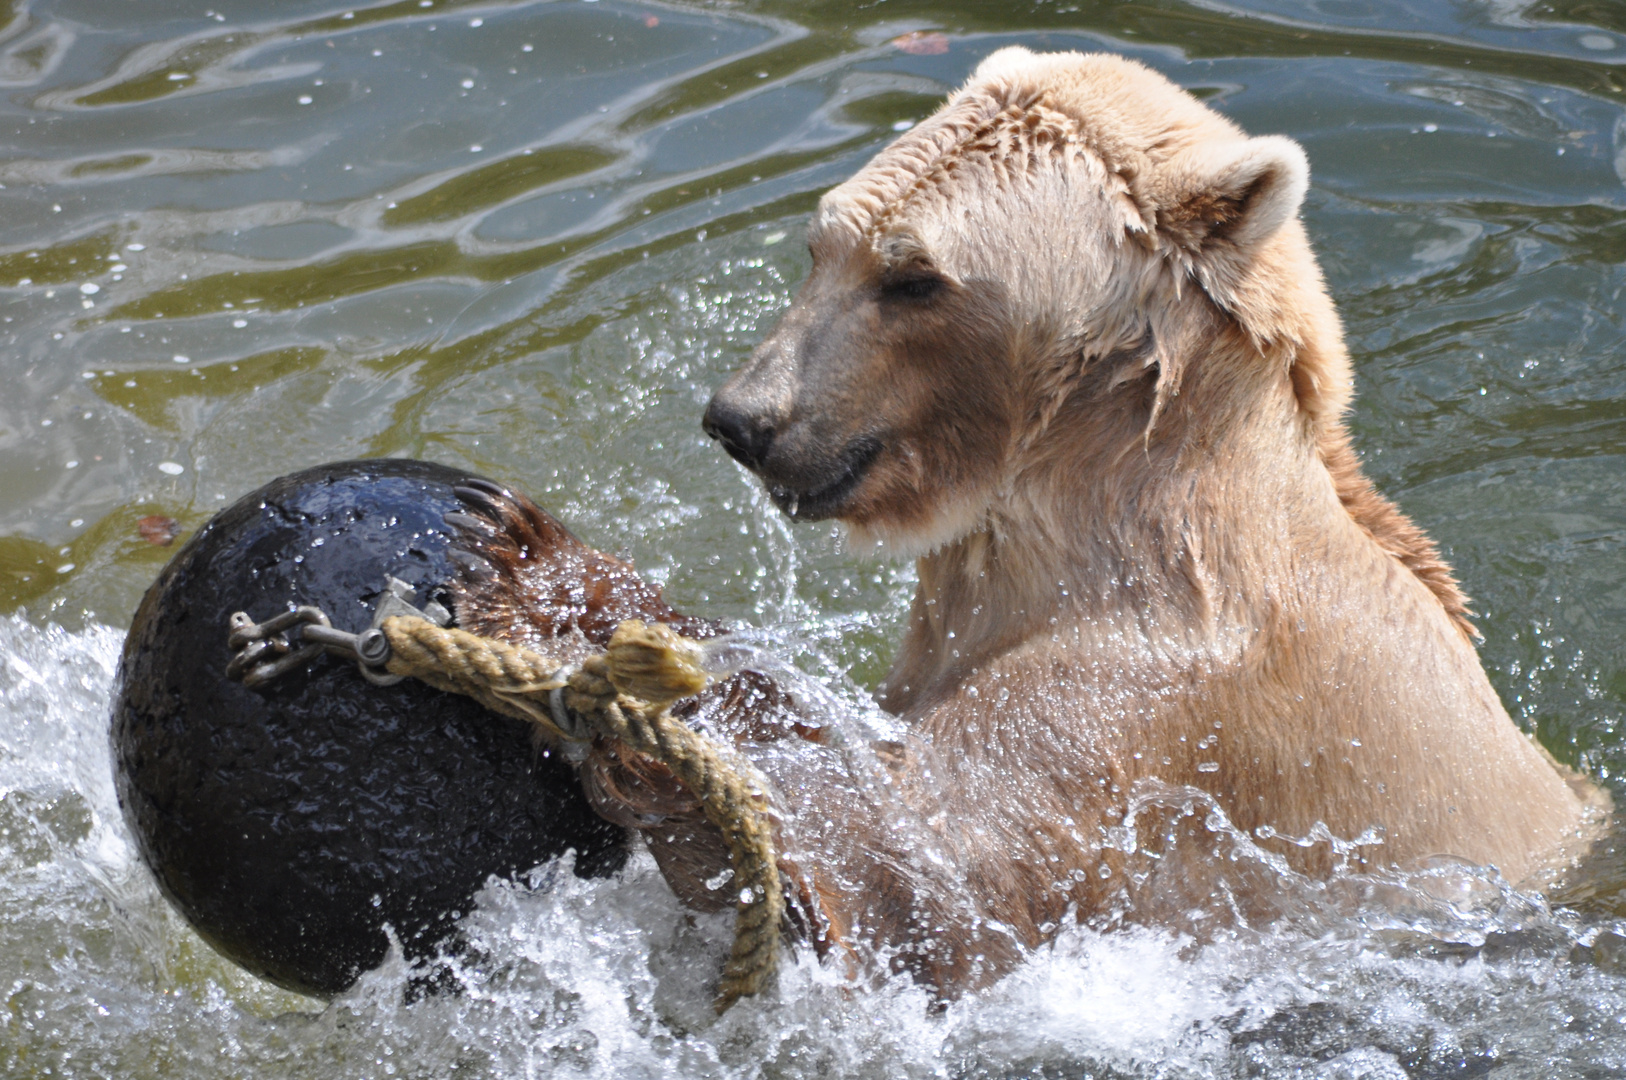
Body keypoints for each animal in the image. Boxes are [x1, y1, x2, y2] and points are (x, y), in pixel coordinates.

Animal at [455, 46, 1599, 995]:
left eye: (913, 276)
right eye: (821, 246)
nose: (743, 418)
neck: (1103, 509)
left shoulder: (1170, 714)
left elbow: (914, 872)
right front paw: (525, 546)